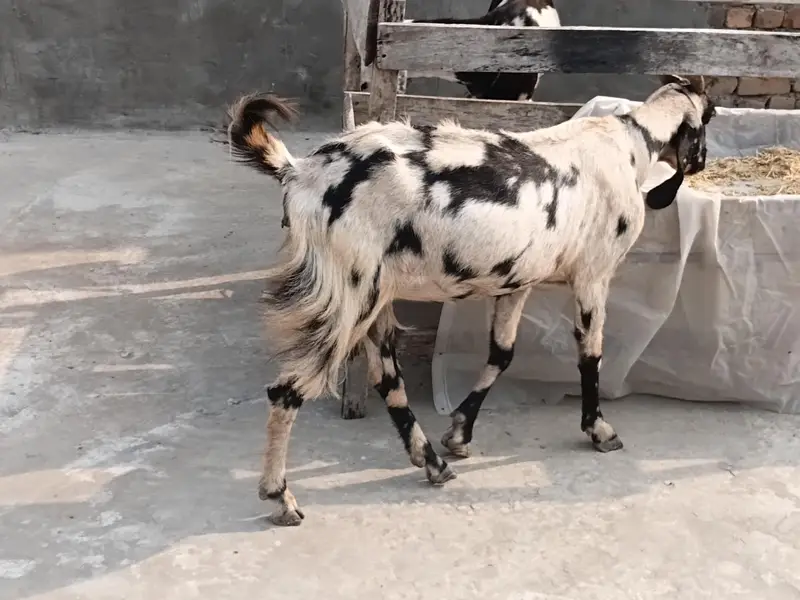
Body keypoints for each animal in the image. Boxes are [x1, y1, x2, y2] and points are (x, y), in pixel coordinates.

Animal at [226, 74, 716, 526]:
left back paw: (432, 463)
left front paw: (460, 432)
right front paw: (599, 430)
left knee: (388, 378)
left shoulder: (517, 281)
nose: (704, 161)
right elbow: (591, 354)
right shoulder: (594, 273)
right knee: (288, 390)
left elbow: (502, 353)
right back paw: (280, 498)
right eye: (710, 116)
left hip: (374, 294)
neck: (631, 143)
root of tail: (298, 172)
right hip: (348, 291)